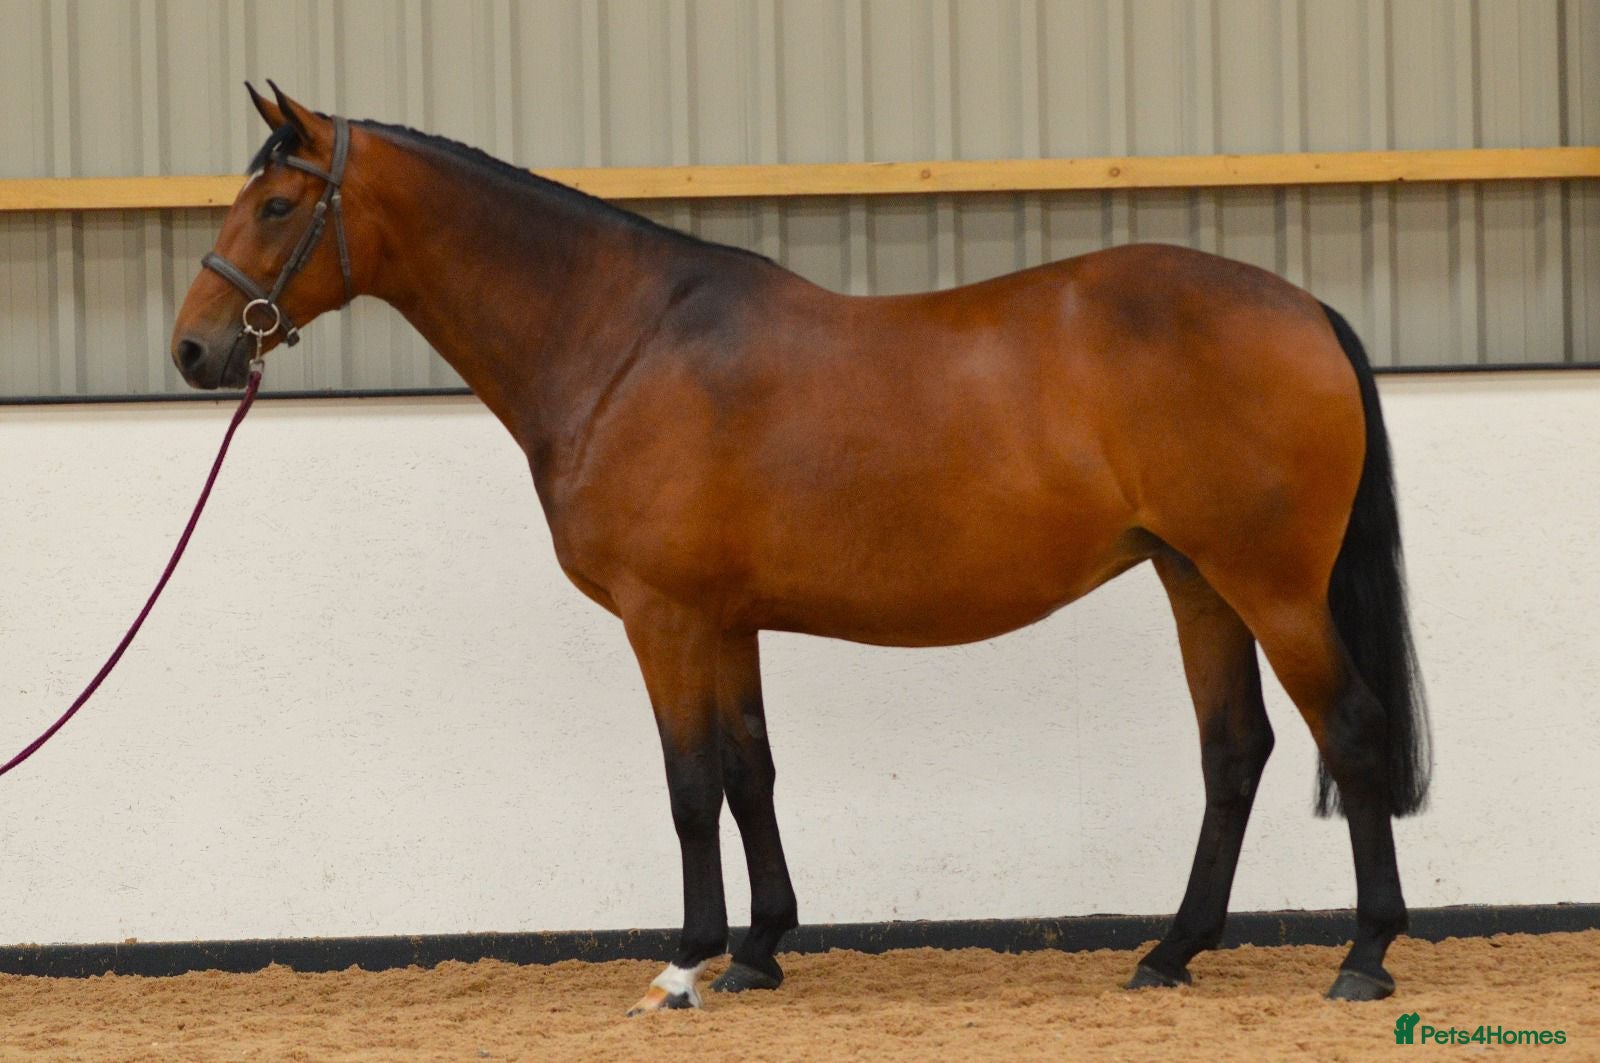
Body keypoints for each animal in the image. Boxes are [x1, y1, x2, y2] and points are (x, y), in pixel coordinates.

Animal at [172, 84, 1430, 1013]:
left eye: (277, 205)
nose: (192, 348)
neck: (623, 343)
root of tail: (1302, 308)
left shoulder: (665, 616)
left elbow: (687, 785)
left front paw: (685, 959)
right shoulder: (725, 619)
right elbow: (749, 771)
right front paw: (758, 949)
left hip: (1271, 586)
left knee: (1349, 728)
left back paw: (1363, 957)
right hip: (1196, 579)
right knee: (1235, 749)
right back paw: (1170, 952)